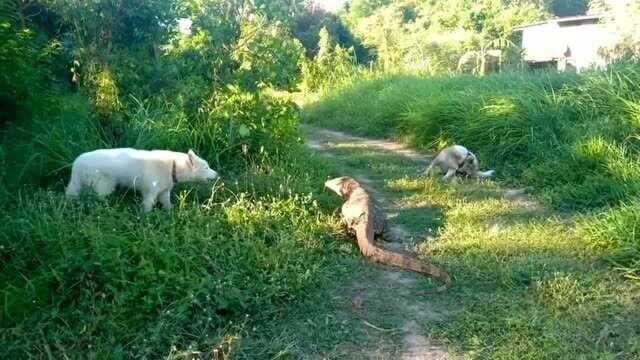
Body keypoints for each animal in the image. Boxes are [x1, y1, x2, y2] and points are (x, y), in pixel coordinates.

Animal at [66, 148, 219, 212]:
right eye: (206, 167)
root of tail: (76, 163)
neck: (173, 166)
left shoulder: (164, 192)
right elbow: (147, 207)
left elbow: (167, 203)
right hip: (104, 186)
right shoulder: (149, 193)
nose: (217, 174)